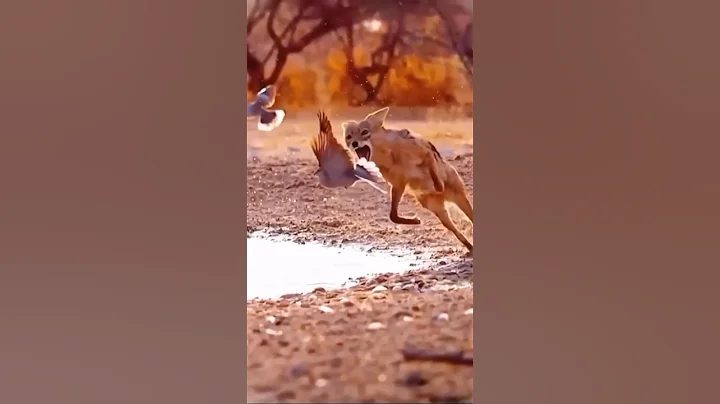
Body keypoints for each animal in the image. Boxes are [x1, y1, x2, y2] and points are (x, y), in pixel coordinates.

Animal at [342, 107, 474, 253]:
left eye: (365, 132)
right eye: (349, 137)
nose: (354, 143)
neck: (390, 156)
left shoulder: (426, 154)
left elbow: (433, 171)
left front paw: (438, 185)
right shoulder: (398, 184)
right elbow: (393, 216)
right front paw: (415, 221)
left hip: (460, 199)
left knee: (470, 217)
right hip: (440, 213)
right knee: (457, 231)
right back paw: (470, 248)